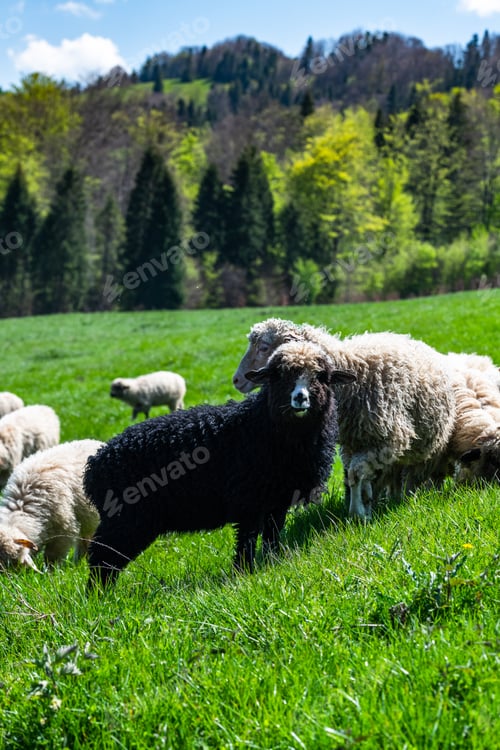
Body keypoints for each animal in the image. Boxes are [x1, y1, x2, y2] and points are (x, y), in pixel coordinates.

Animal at [85, 341, 355, 587]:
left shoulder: (278, 499)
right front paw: (244, 573)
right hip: (125, 520)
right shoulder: (249, 499)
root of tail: (95, 465)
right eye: (279, 375)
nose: (300, 398)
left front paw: (272, 563)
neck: (263, 424)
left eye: (321, 377)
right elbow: (247, 539)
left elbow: (273, 535)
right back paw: (99, 597)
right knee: (101, 559)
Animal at [233, 318, 456, 520]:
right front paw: (365, 504)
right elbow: (353, 474)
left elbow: (355, 473)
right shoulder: (352, 443)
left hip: (423, 447)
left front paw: (357, 513)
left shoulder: (390, 439)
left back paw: (407, 497)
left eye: (264, 347)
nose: (236, 380)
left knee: (411, 473)